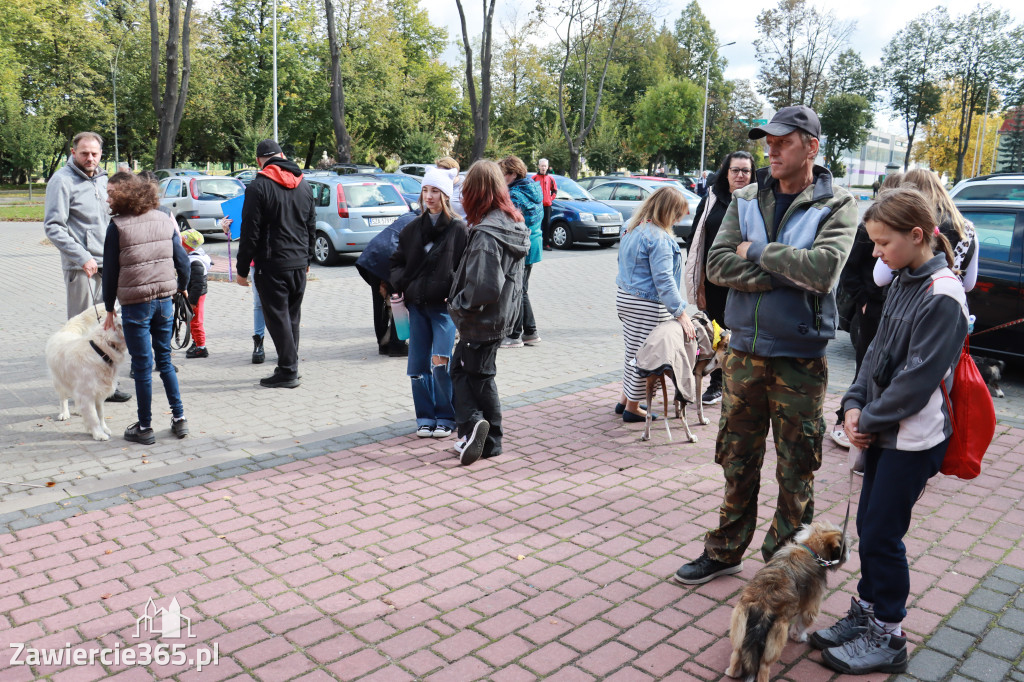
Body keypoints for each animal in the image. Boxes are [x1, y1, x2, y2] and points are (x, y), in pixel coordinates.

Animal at [45, 303, 128, 440]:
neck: (100, 351)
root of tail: (66, 331)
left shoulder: (98, 392)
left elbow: (100, 414)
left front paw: (104, 428)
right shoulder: (87, 394)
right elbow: (93, 416)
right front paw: (99, 434)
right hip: (59, 379)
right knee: (63, 398)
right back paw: (64, 413)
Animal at [724, 518, 851, 675]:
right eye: (845, 546)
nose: (850, 552)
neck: (810, 550)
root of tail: (762, 605)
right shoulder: (811, 606)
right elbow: (803, 622)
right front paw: (799, 637)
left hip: (739, 626)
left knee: (736, 653)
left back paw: (732, 672)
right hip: (776, 637)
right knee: (764, 665)